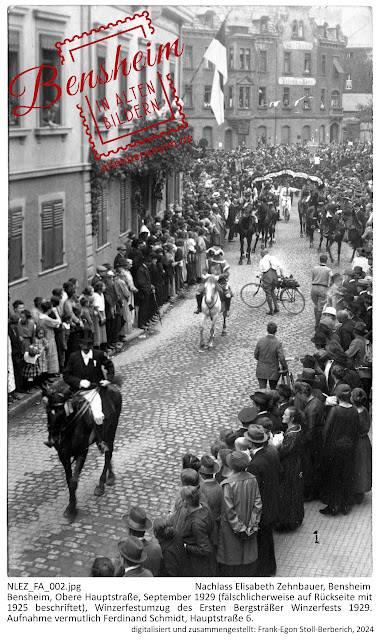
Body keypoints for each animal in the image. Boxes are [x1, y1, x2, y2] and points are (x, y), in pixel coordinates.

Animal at [43, 382, 122, 524]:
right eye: (48, 412)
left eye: (62, 413)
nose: (53, 439)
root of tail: (113, 386)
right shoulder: (63, 455)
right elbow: (69, 481)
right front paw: (71, 506)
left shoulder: (81, 453)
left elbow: (74, 481)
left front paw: (72, 510)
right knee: (108, 451)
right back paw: (111, 475)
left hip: (112, 429)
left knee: (108, 454)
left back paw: (101, 484)